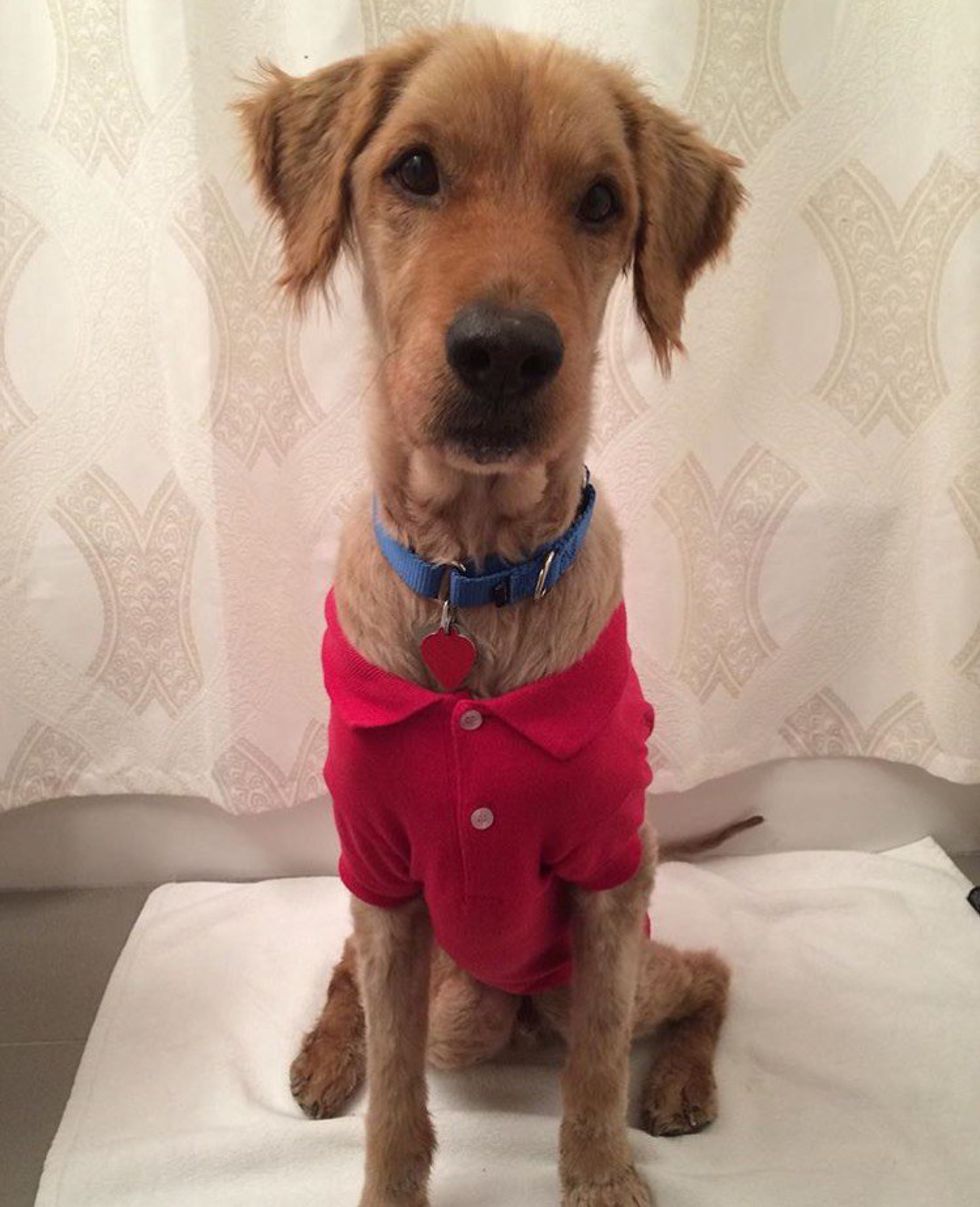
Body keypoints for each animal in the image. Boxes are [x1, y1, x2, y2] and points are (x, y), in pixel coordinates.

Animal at [238, 26, 744, 1207]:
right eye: (415, 169)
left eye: (601, 200)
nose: (506, 352)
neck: (471, 581)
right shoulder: (380, 872)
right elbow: (394, 1093)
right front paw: (387, 1178)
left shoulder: (611, 880)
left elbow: (593, 1072)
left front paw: (601, 1175)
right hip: (453, 990)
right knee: (358, 981)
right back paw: (327, 1051)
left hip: (580, 966)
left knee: (706, 974)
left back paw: (680, 1083)